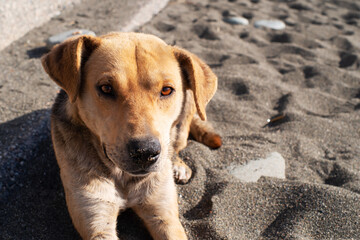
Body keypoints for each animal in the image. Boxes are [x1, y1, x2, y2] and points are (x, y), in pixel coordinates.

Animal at [40, 32, 221, 240]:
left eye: (166, 90)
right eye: (106, 88)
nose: (145, 153)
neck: (123, 178)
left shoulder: (163, 213)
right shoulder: (96, 219)